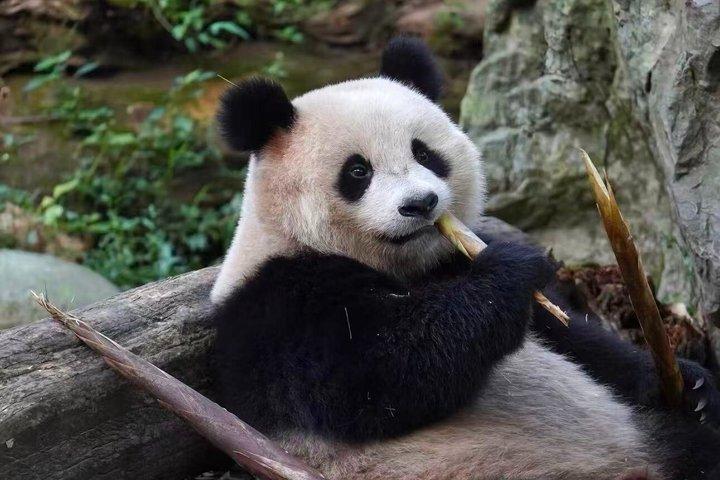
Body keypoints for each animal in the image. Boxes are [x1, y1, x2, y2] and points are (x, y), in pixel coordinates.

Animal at [210, 38, 720, 480]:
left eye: (424, 152)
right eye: (357, 171)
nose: (420, 204)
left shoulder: (450, 262)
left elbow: (574, 337)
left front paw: (689, 383)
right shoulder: (280, 307)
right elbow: (379, 375)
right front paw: (514, 267)